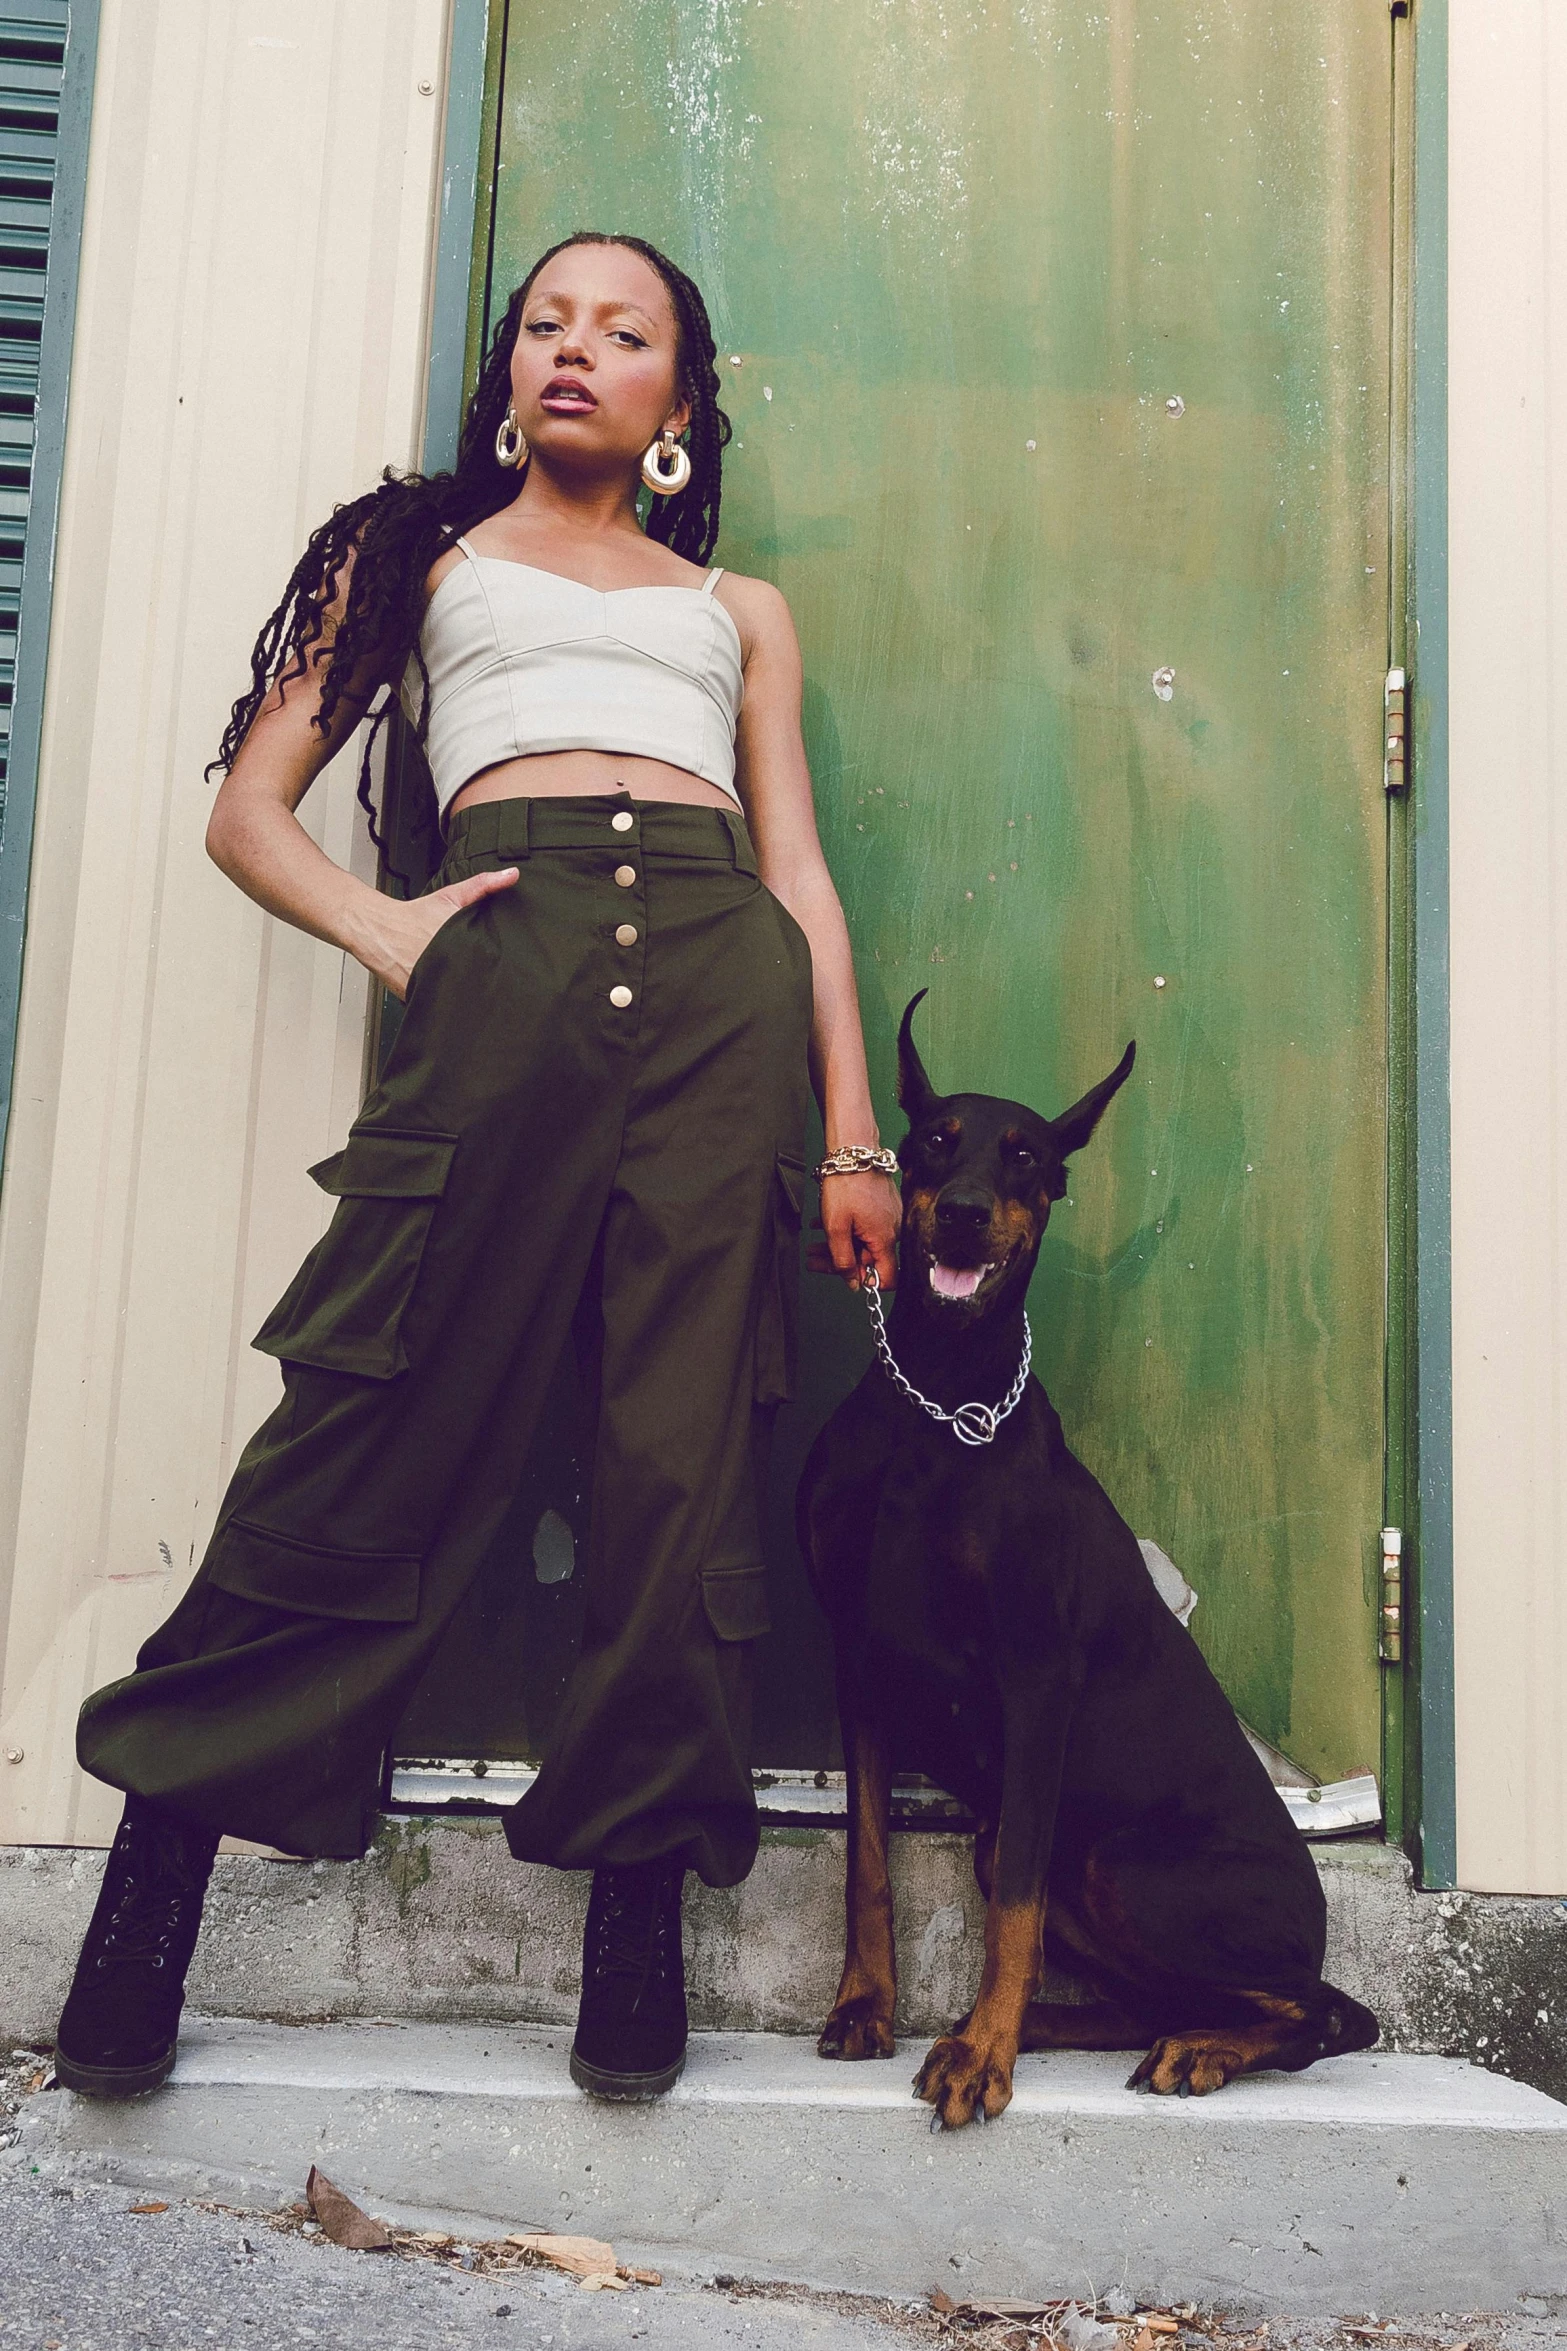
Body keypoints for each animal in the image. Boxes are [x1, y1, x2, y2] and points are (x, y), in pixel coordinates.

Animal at [803, 992, 1381, 2134]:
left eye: (1026, 1155)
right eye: (934, 1140)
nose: (964, 1211)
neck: (941, 1404)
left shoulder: (1038, 1681)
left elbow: (1014, 1914)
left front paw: (979, 2060)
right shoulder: (860, 1662)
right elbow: (867, 1860)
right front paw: (865, 2006)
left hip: (1129, 1860)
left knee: (1324, 2012)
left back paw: (1187, 2044)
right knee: (1158, 1993)